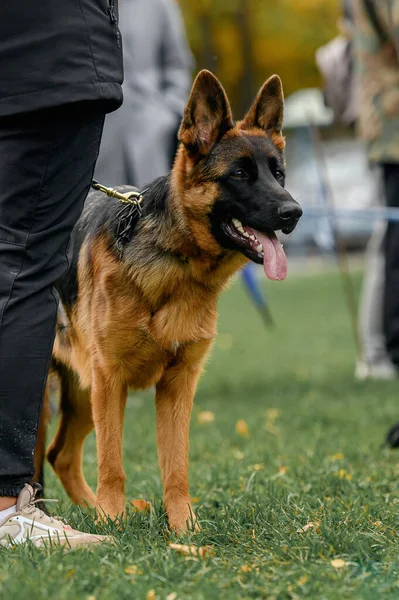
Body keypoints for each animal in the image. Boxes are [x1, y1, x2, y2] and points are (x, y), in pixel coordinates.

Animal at [42, 70, 302, 528]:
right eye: (240, 173)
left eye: (279, 174)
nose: (295, 213)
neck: (176, 264)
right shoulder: (110, 380)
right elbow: (112, 462)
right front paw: (114, 523)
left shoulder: (178, 386)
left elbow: (176, 465)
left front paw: (183, 527)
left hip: (83, 393)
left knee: (62, 456)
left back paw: (88, 514)